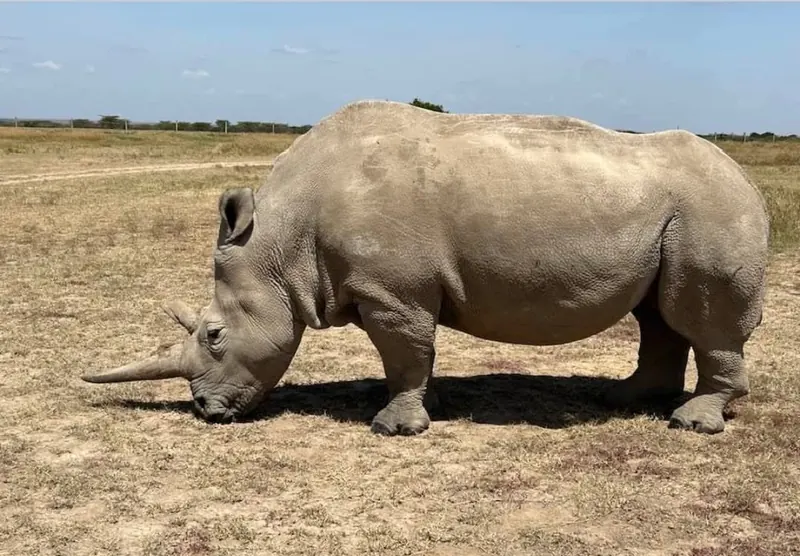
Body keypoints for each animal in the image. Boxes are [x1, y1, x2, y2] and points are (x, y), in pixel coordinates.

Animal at [82, 100, 770, 436]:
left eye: (215, 334)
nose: (207, 412)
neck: (279, 242)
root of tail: (750, 184)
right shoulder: (390, 289)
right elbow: (410, 353)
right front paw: (426, 404)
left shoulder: (392, 289)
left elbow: (403, 348)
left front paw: (393, 430)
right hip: (679, 214)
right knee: (659, 314)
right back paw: (626, 398)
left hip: (712, 211)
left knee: (698, 316)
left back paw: (693, 425)